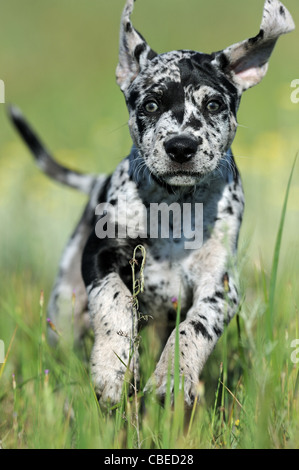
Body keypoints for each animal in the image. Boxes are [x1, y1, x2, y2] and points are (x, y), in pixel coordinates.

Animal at [9, 0, 296, 406]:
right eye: (150, 104)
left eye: (213, 104)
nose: (181, 146)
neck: (174, 206)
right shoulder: (100, 256)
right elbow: (116, 303)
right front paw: (112, 369)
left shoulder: (220, 285)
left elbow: (196, 326)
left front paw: (173, 376)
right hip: (63, 309)